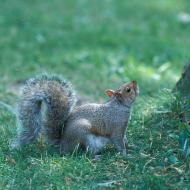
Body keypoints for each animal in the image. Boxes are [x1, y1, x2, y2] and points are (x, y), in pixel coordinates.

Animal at [8, 74, 138, 156]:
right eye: (128, 89)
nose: (134, 81)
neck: (119, 106)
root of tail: (63, 146)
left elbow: (124, 140)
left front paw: (131, 146)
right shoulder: (117, 127)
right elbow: (118, 141)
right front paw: (125, 154)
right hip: (83, 133)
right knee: (84, 152)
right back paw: (95, 157)